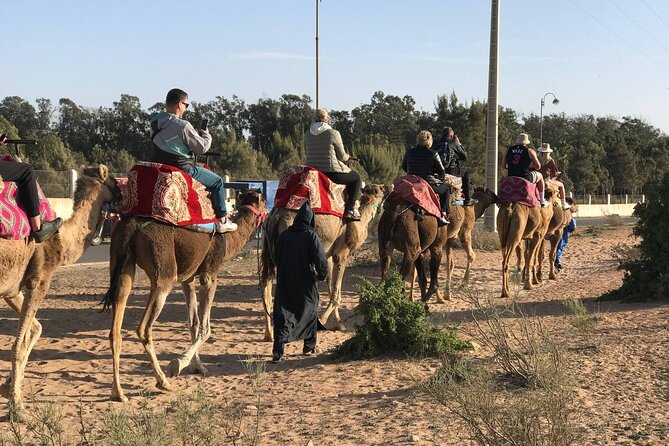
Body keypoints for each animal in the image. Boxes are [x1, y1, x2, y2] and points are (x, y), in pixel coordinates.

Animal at [0, 166, 120, 412]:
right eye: (114, 180)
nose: (123, 194)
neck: (62, 238)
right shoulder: (39, 279)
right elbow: (17, 345)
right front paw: (17, 406)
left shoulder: (12, 288)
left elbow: (35, 330)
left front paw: (7, 389)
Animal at [101, 188, 266, 400]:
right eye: (264, 201)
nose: (269, 212)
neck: (229, 240)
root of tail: (132, 228)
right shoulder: (209, 275)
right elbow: (205, 328)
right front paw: (177, 364)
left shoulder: (187, 279)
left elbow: (193, 324)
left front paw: (198, 367)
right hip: (164, 275)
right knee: (144, 328)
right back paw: (163, 381)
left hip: (122, 266)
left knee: (115, 329)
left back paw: (118, 392)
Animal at [260, 183, 386, 340]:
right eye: (381, 191)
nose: (384, 187)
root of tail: (275, 218)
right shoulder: (342, 253)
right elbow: (336, 293)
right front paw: (322, 320)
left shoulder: (328, 255)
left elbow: (331, 287)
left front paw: (339, 324)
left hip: (267, 251)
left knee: (266, 285)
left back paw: (269, 334)